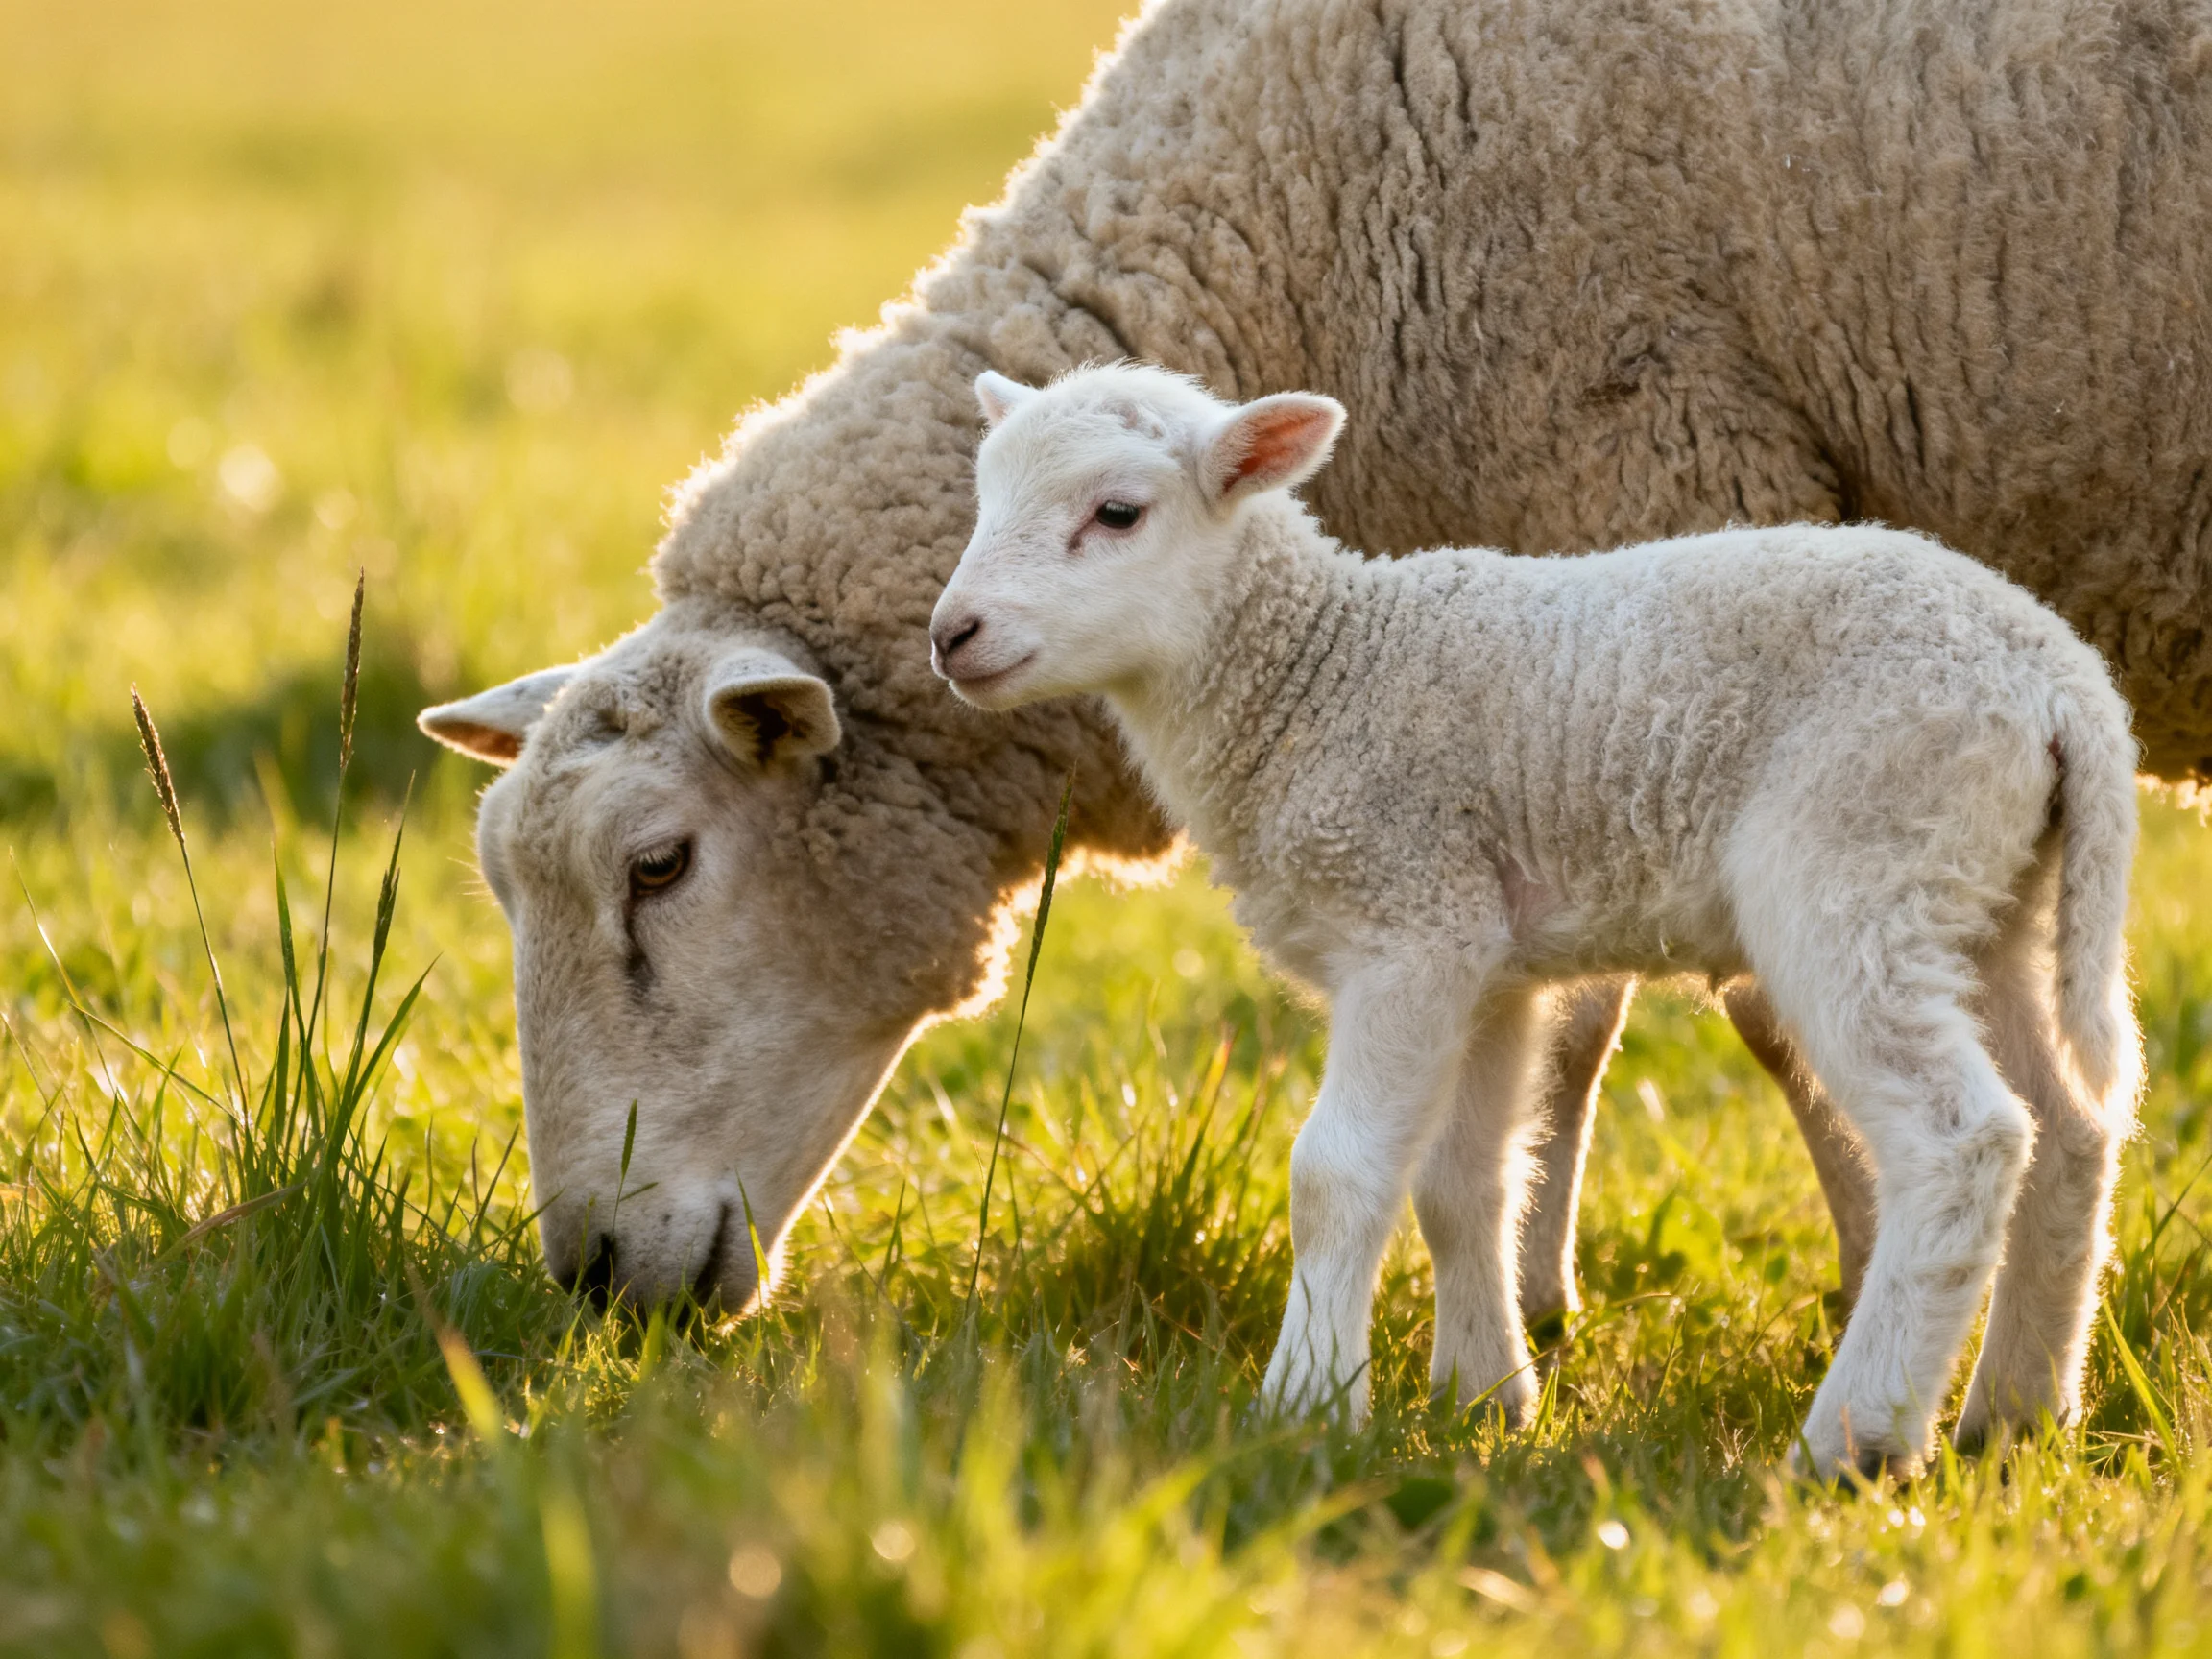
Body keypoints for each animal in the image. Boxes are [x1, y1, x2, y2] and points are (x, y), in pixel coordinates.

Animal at [417, 0, 2212, 1328]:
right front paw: (1525, 1292)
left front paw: (1844, 1270)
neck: (1312, 208)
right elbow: (1563, 1013)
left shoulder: (1666, 524)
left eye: (659, 865)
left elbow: (1753, 1014)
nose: (589, 1272)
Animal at [928, 361, 2144, 1474]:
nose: (952, 633)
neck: (1314, 676)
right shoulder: (1488, 961)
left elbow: (1337, 1177)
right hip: (1983, 896)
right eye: (984, 496)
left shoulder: (1409, 921)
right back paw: (2019, 1415)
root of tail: (2061, 684)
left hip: (1860, 866)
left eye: (1117, 513)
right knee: (2072, 1132)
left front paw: (1308, 1406)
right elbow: (1463, 1185)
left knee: (1964, 1140)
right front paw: (1483, 1398)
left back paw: (1858, 1440)